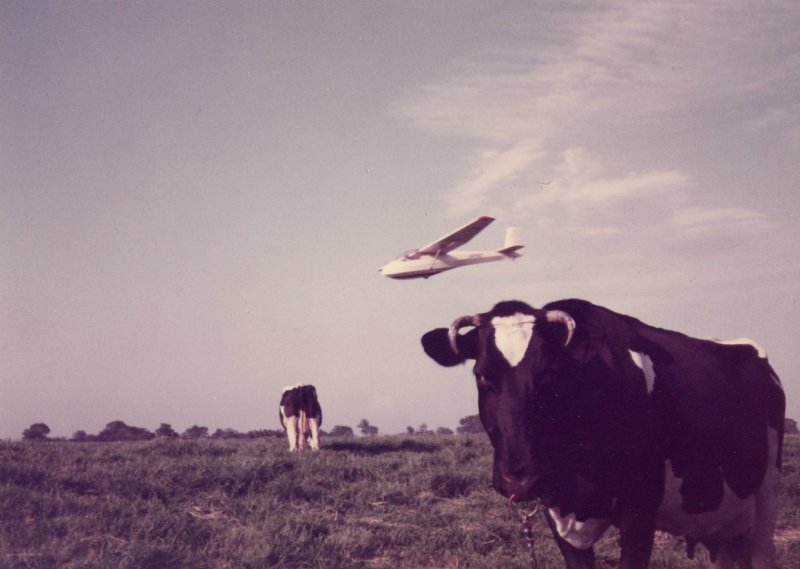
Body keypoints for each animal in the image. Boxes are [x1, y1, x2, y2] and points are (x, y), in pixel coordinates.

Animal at [421, 299, 784, 569]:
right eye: (482, 376)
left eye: (549, 373)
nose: (518, 480)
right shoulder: (558, 514)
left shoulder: (640, 510)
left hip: (766, 496)